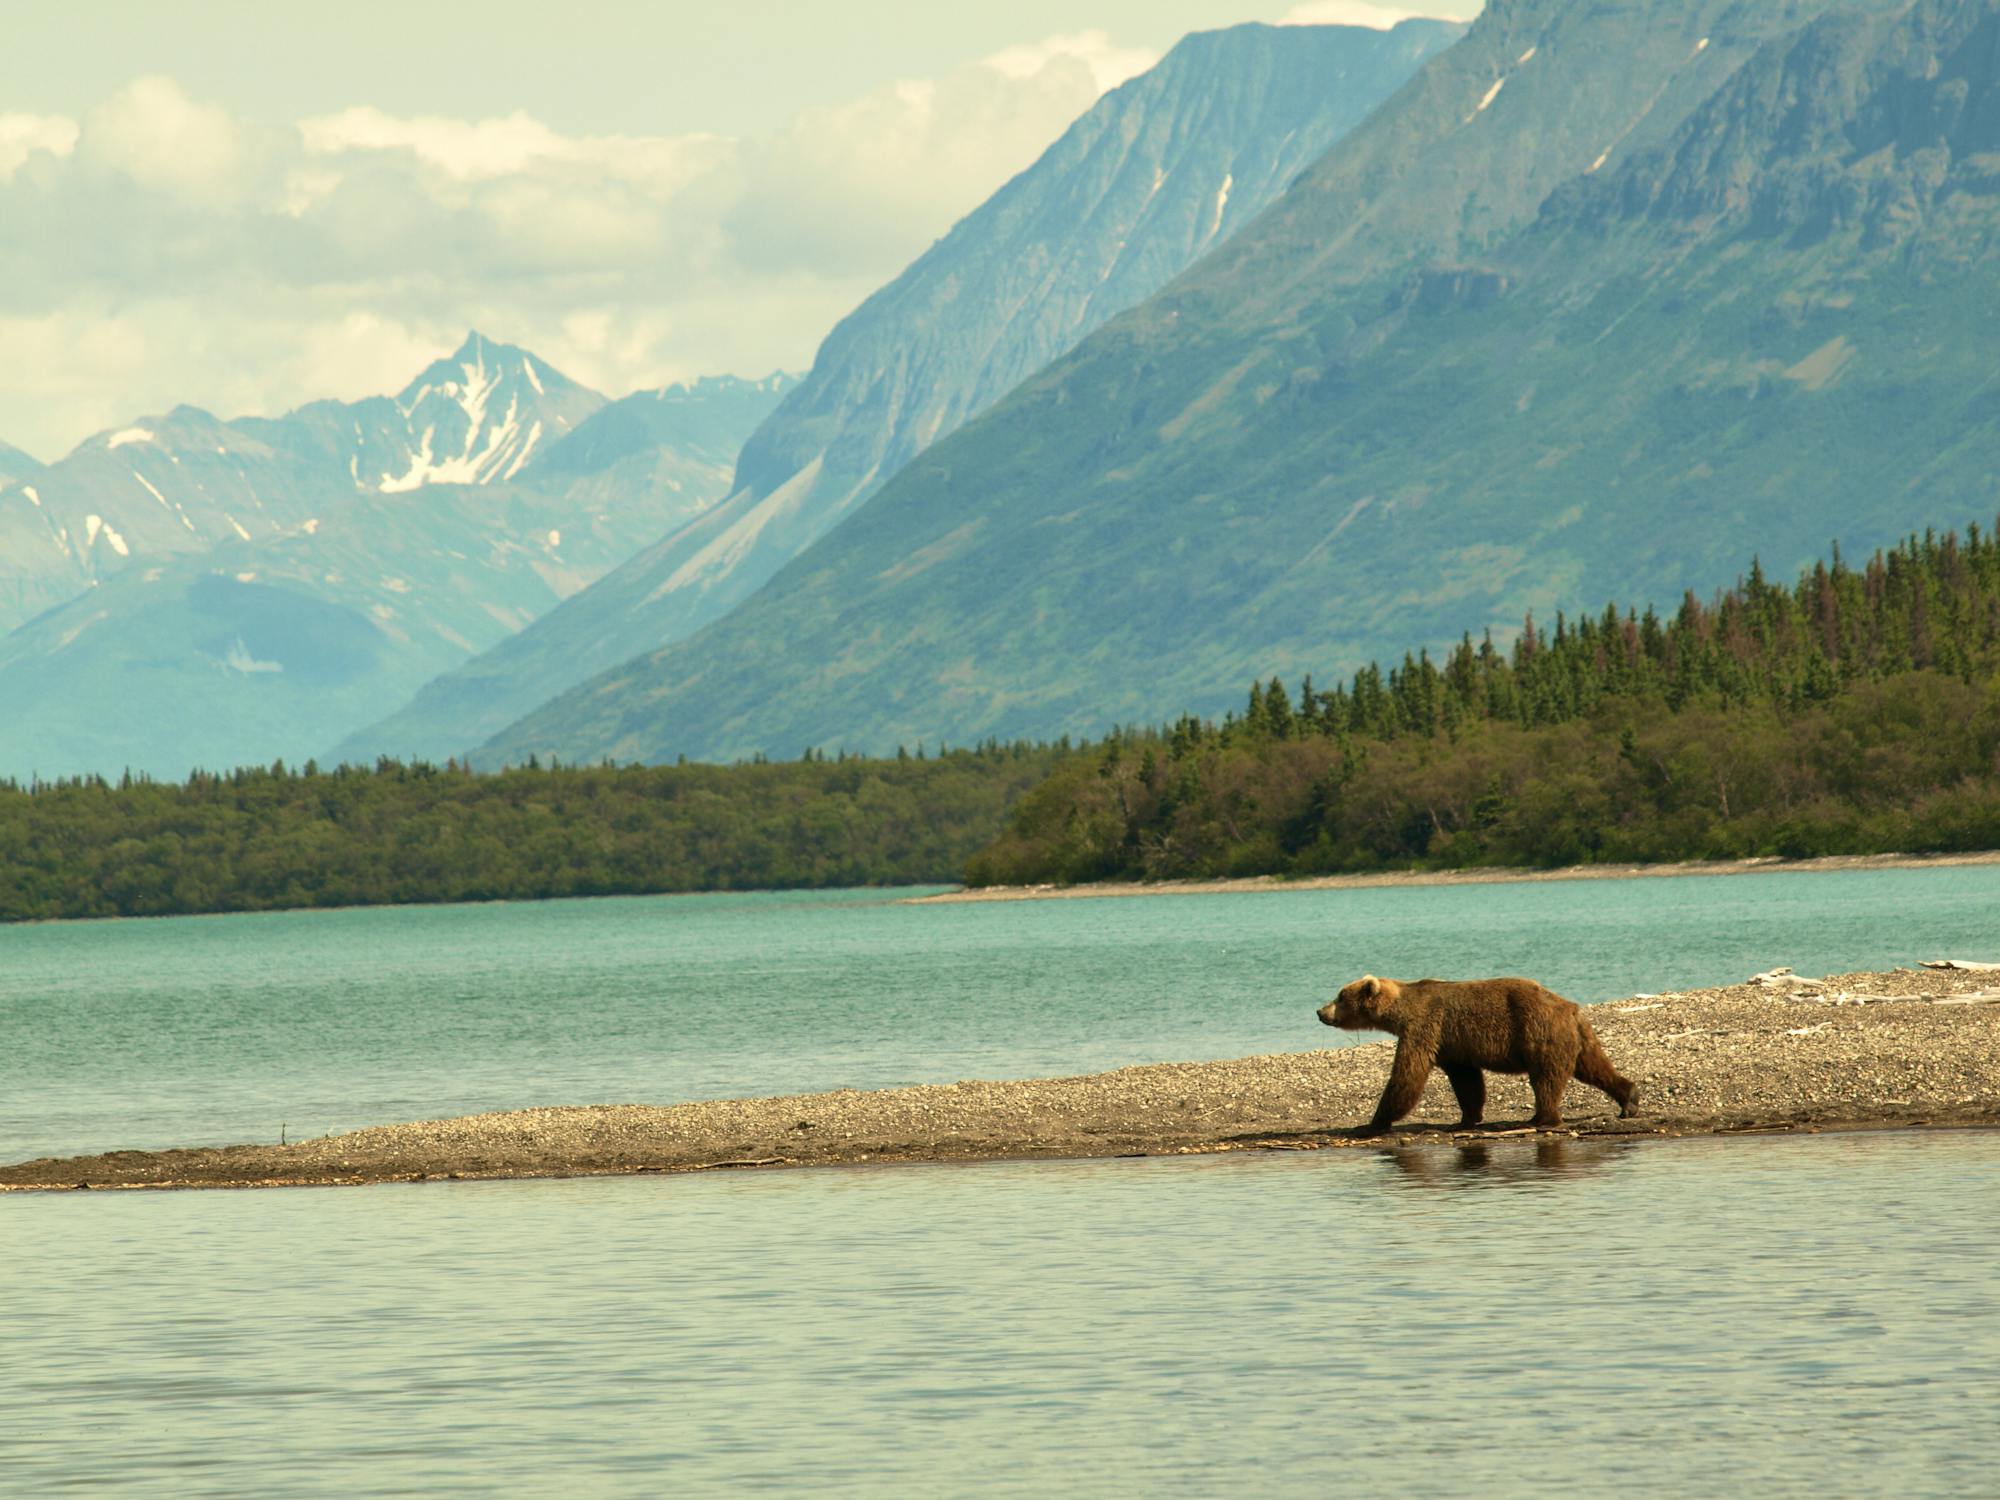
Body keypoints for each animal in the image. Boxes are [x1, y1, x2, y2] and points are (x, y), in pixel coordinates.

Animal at [1320, 980, 1632, 1136]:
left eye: (1340, 996)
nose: (1320, 1011)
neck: (1398, 1011)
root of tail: (1570, 1007)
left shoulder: (1424, 1027)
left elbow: (1408, 1075)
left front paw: (1373, 1122)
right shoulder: (1451, 1042)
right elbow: (1466, 1079)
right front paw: (1466, 1118)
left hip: (1540, 1032)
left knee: (1546, 1078)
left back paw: (1542, 1117)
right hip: (1576, 1036)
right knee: (1594, 1067)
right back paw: (1630, 1098)